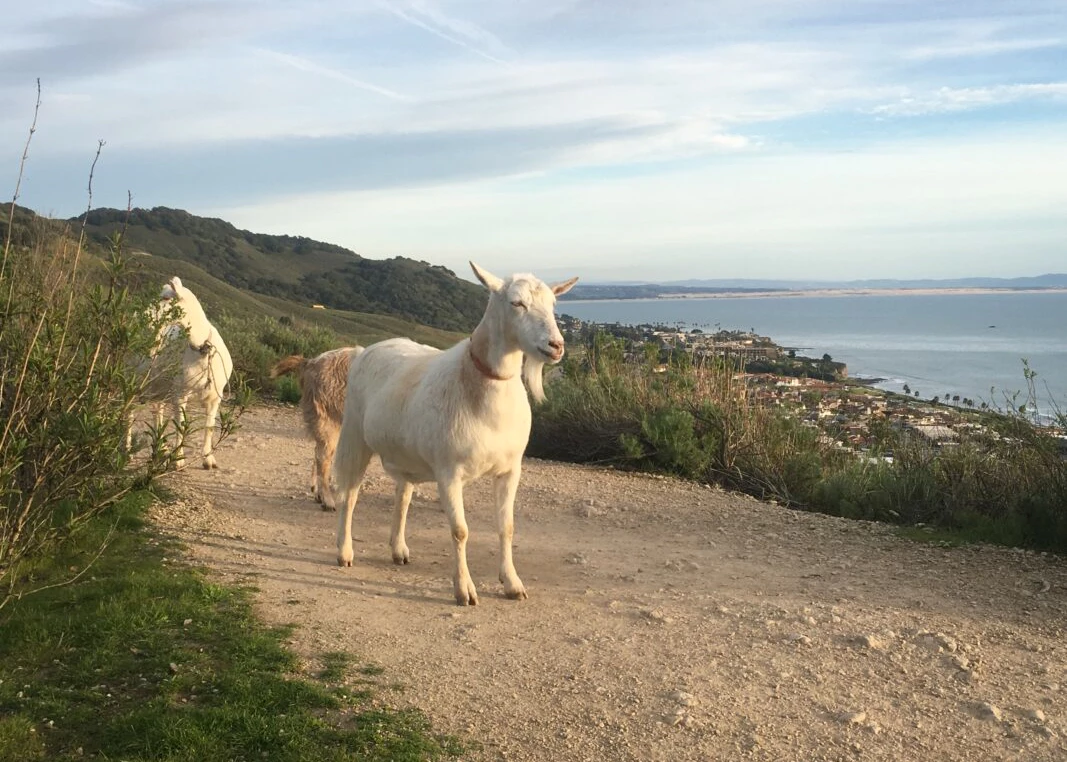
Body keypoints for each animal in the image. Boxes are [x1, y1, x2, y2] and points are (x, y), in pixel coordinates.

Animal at [332, 262, 577, 605]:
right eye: (516, 303)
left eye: (553, 304)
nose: (556, 346)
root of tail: (364, 350)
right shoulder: (449, 471)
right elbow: (460, 530)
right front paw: (464, 590)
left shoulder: (510, 469)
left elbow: (507, 527)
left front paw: (512, 583)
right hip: (355, 433)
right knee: (350, 493)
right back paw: (344, 552)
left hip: (405, 453)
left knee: (403, 495)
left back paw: (398, 549)